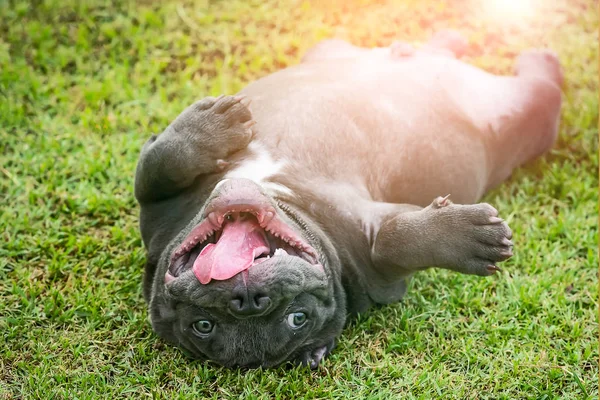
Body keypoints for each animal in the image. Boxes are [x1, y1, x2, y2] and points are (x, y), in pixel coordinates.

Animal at [135, 30, 564, 368]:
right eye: (203, 326)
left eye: (297, 319)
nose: (248, 299)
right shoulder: (375, 267)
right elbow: (393, 241)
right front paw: (472, 238)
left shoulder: (156, 211)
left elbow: (156, 166)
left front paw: (208, 125)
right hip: (525, 113)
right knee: (547, 88)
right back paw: (539, 57)